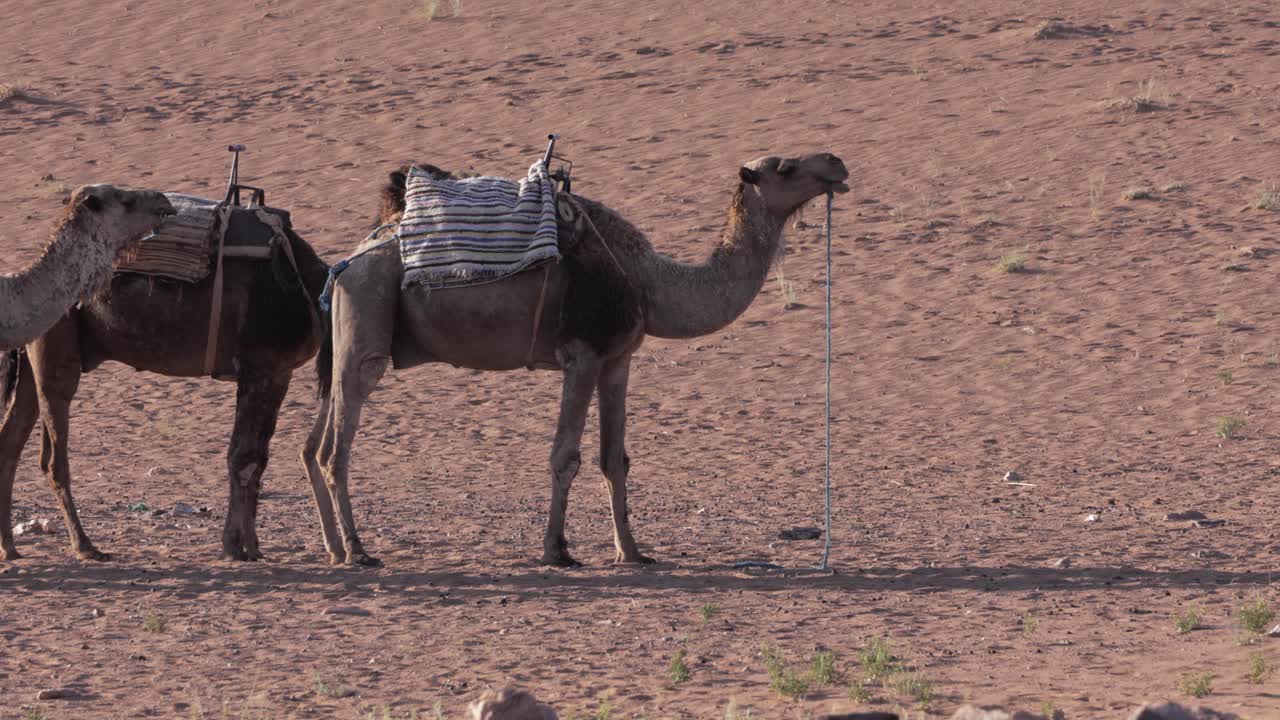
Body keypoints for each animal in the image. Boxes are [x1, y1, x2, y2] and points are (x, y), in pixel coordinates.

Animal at [303, 152, 849, 566]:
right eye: (785, 167)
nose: (836, 164)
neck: (648, 282)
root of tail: (347, 261)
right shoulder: (582, 355)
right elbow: (565, 456)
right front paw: (557, 551)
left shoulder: (617, 360)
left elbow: (615, 459)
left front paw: (632, 552)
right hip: (368, 316)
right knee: (336, 446)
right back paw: (359, 550)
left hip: (348, 333)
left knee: (313, 444)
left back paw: (334, 549)